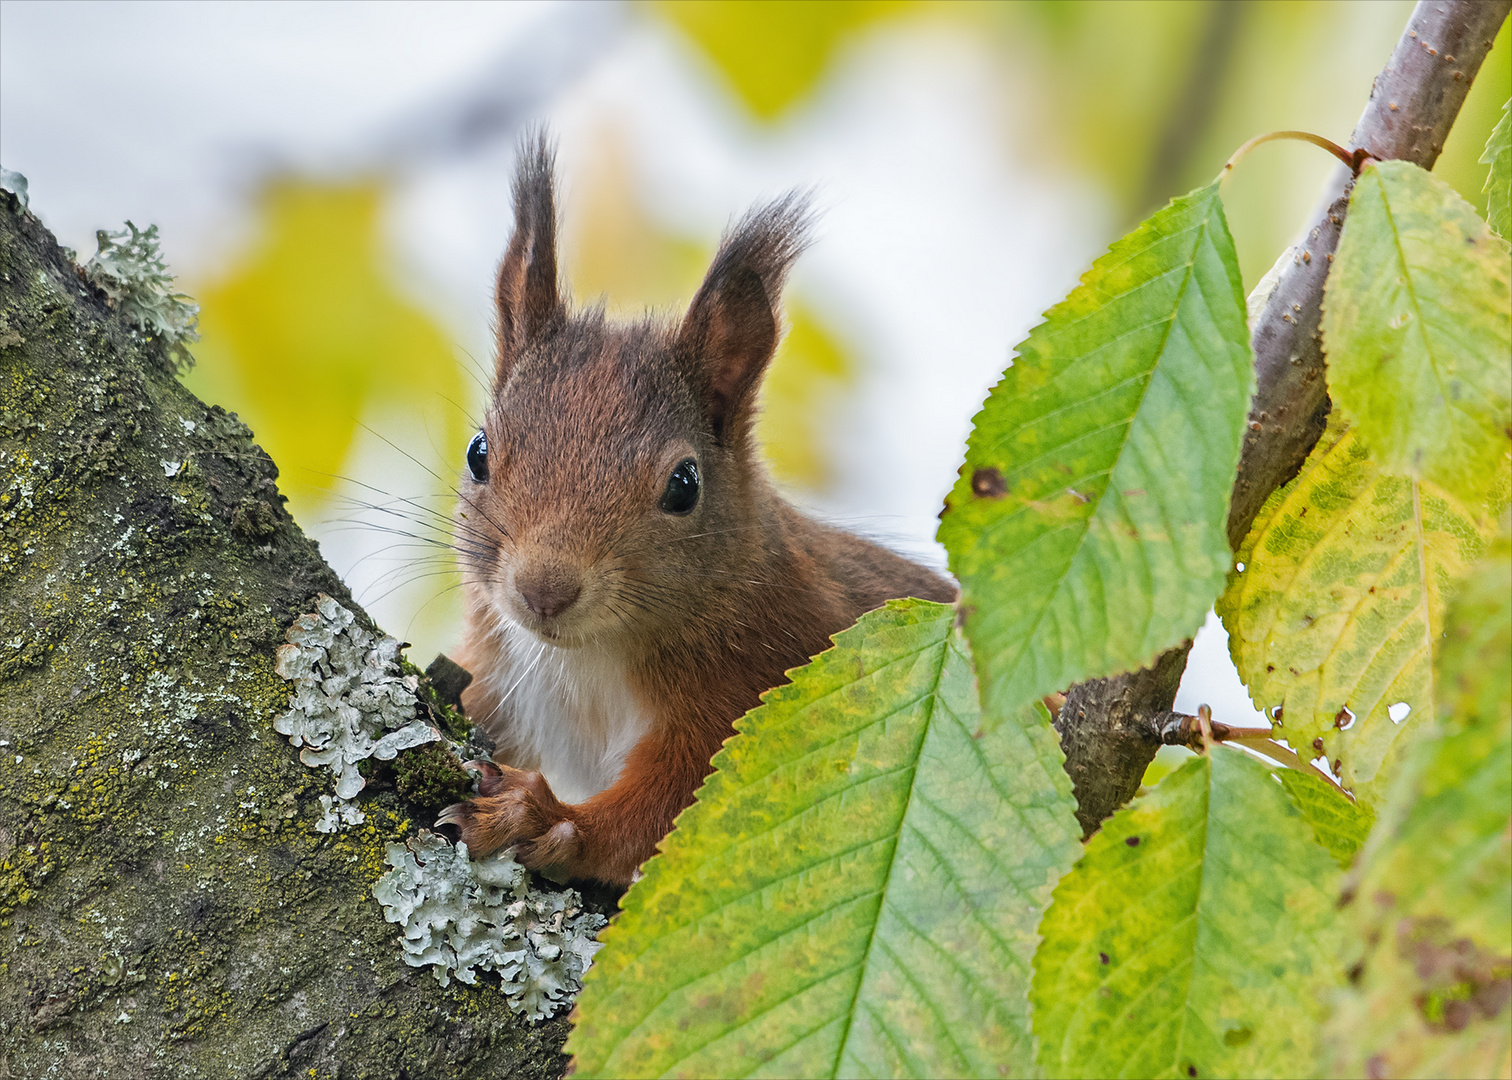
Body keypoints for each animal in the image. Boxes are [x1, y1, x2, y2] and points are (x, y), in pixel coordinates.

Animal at [441, 136, 955, 883]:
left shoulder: (761, 681)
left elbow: (674, 806)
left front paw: (542, 818)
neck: (589, 657)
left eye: (684, 485)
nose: (545, 590)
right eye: (479, 452)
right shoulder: (501, 670)